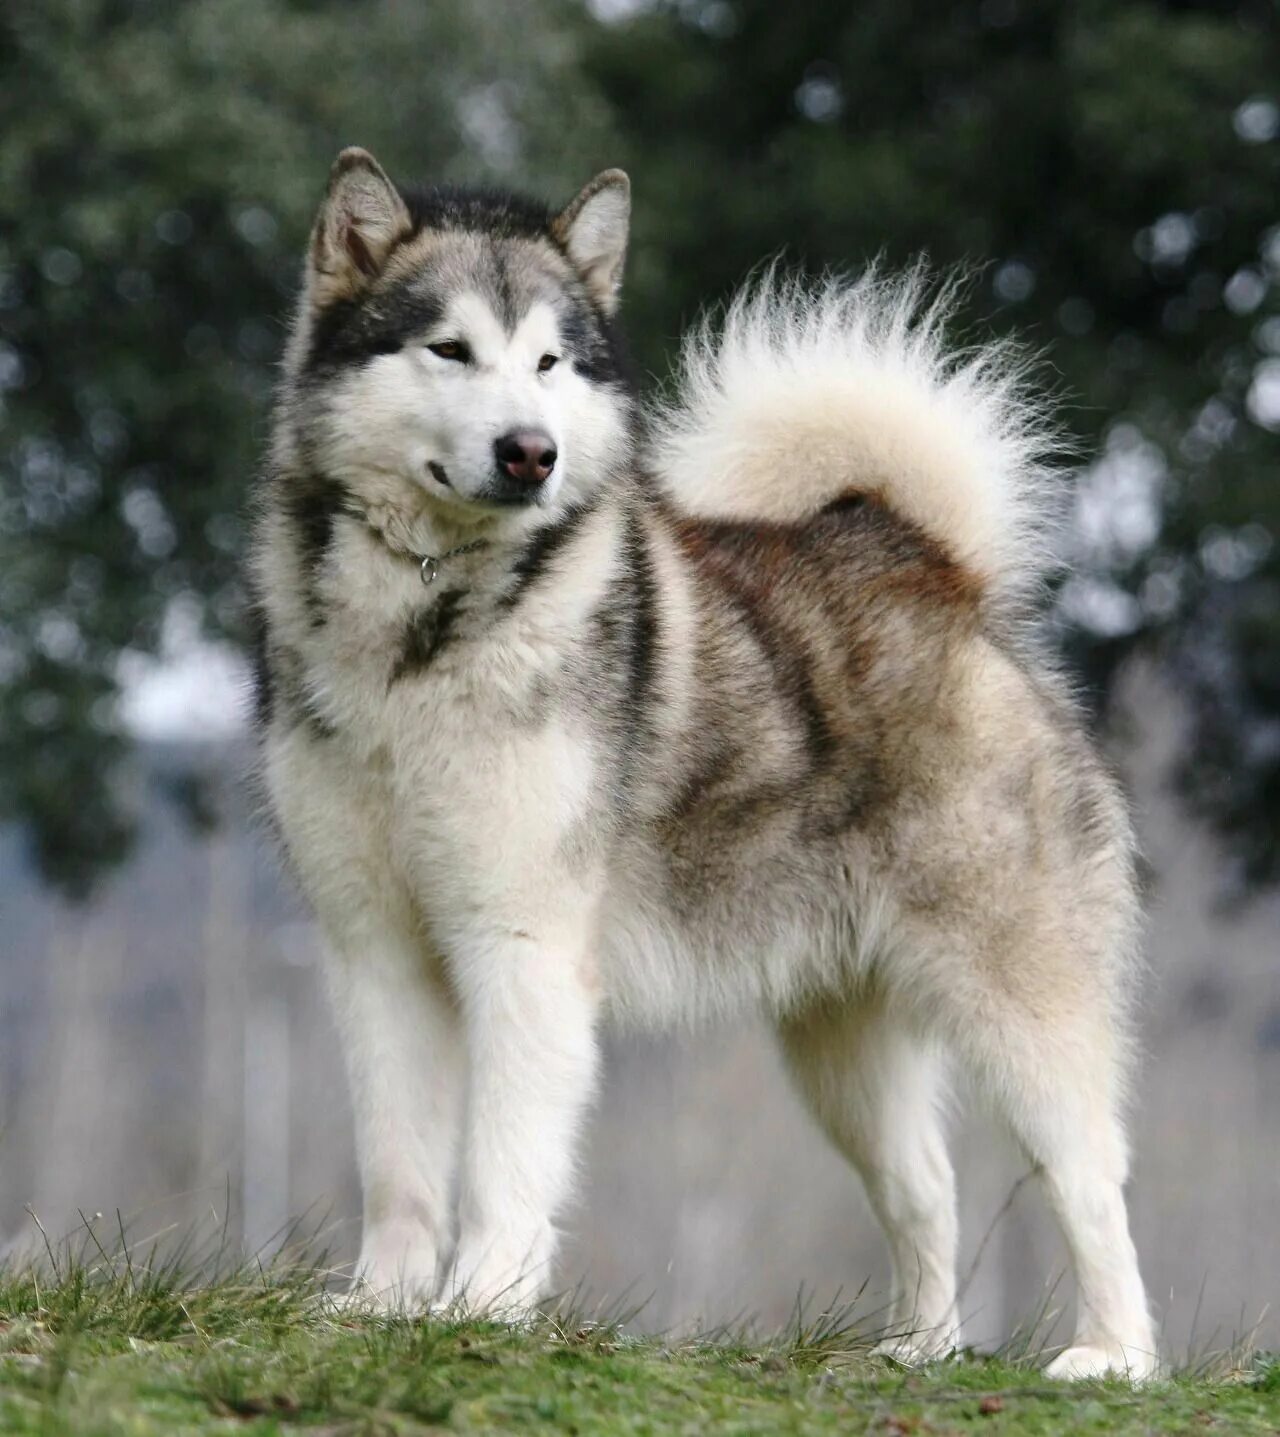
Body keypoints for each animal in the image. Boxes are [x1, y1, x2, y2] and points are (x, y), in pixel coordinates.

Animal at [249, 148, 1160, 1379]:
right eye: (448, 348)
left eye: (549, 361)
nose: (530, 451)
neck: (427, 632)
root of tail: (926, 567)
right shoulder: (374, 953)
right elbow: (398, 1168)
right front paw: (385, 1307)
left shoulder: (522, 951)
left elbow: (503, 1164)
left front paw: (481, 1308)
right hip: (840, 1049)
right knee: (924, 1186)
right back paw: (914, 1352)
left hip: (1019, 1009)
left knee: (1090, 1179)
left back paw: (1112, 1356)